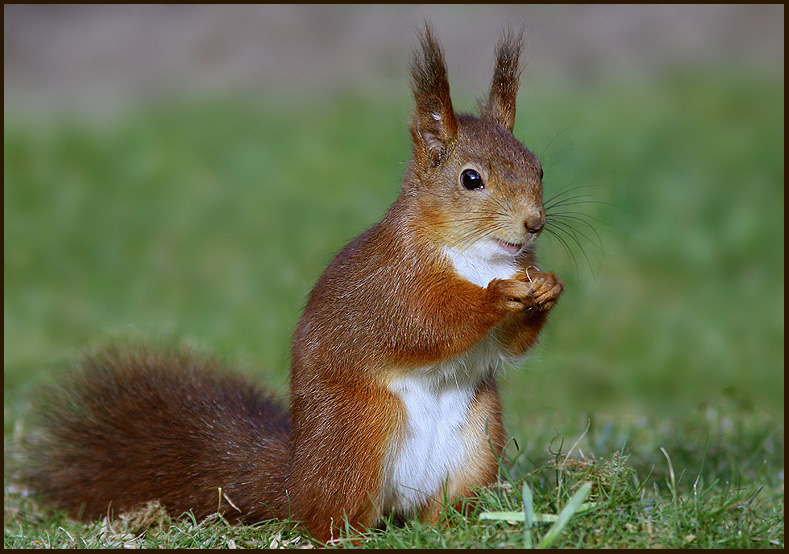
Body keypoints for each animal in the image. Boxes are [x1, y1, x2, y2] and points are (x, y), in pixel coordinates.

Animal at [21, 24, 564, 540]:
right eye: (471, 179)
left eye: (539, 168)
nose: (534, 224)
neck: (479, 258)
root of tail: (294, 480)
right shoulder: (394, 282)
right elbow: (425, 323)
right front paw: (498, 295)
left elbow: (510, 346)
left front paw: (547, 289)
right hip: (357, 435)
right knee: (326, 518)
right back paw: (351, 536)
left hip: (477, 442)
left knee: (441, 506)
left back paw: (451, 528)